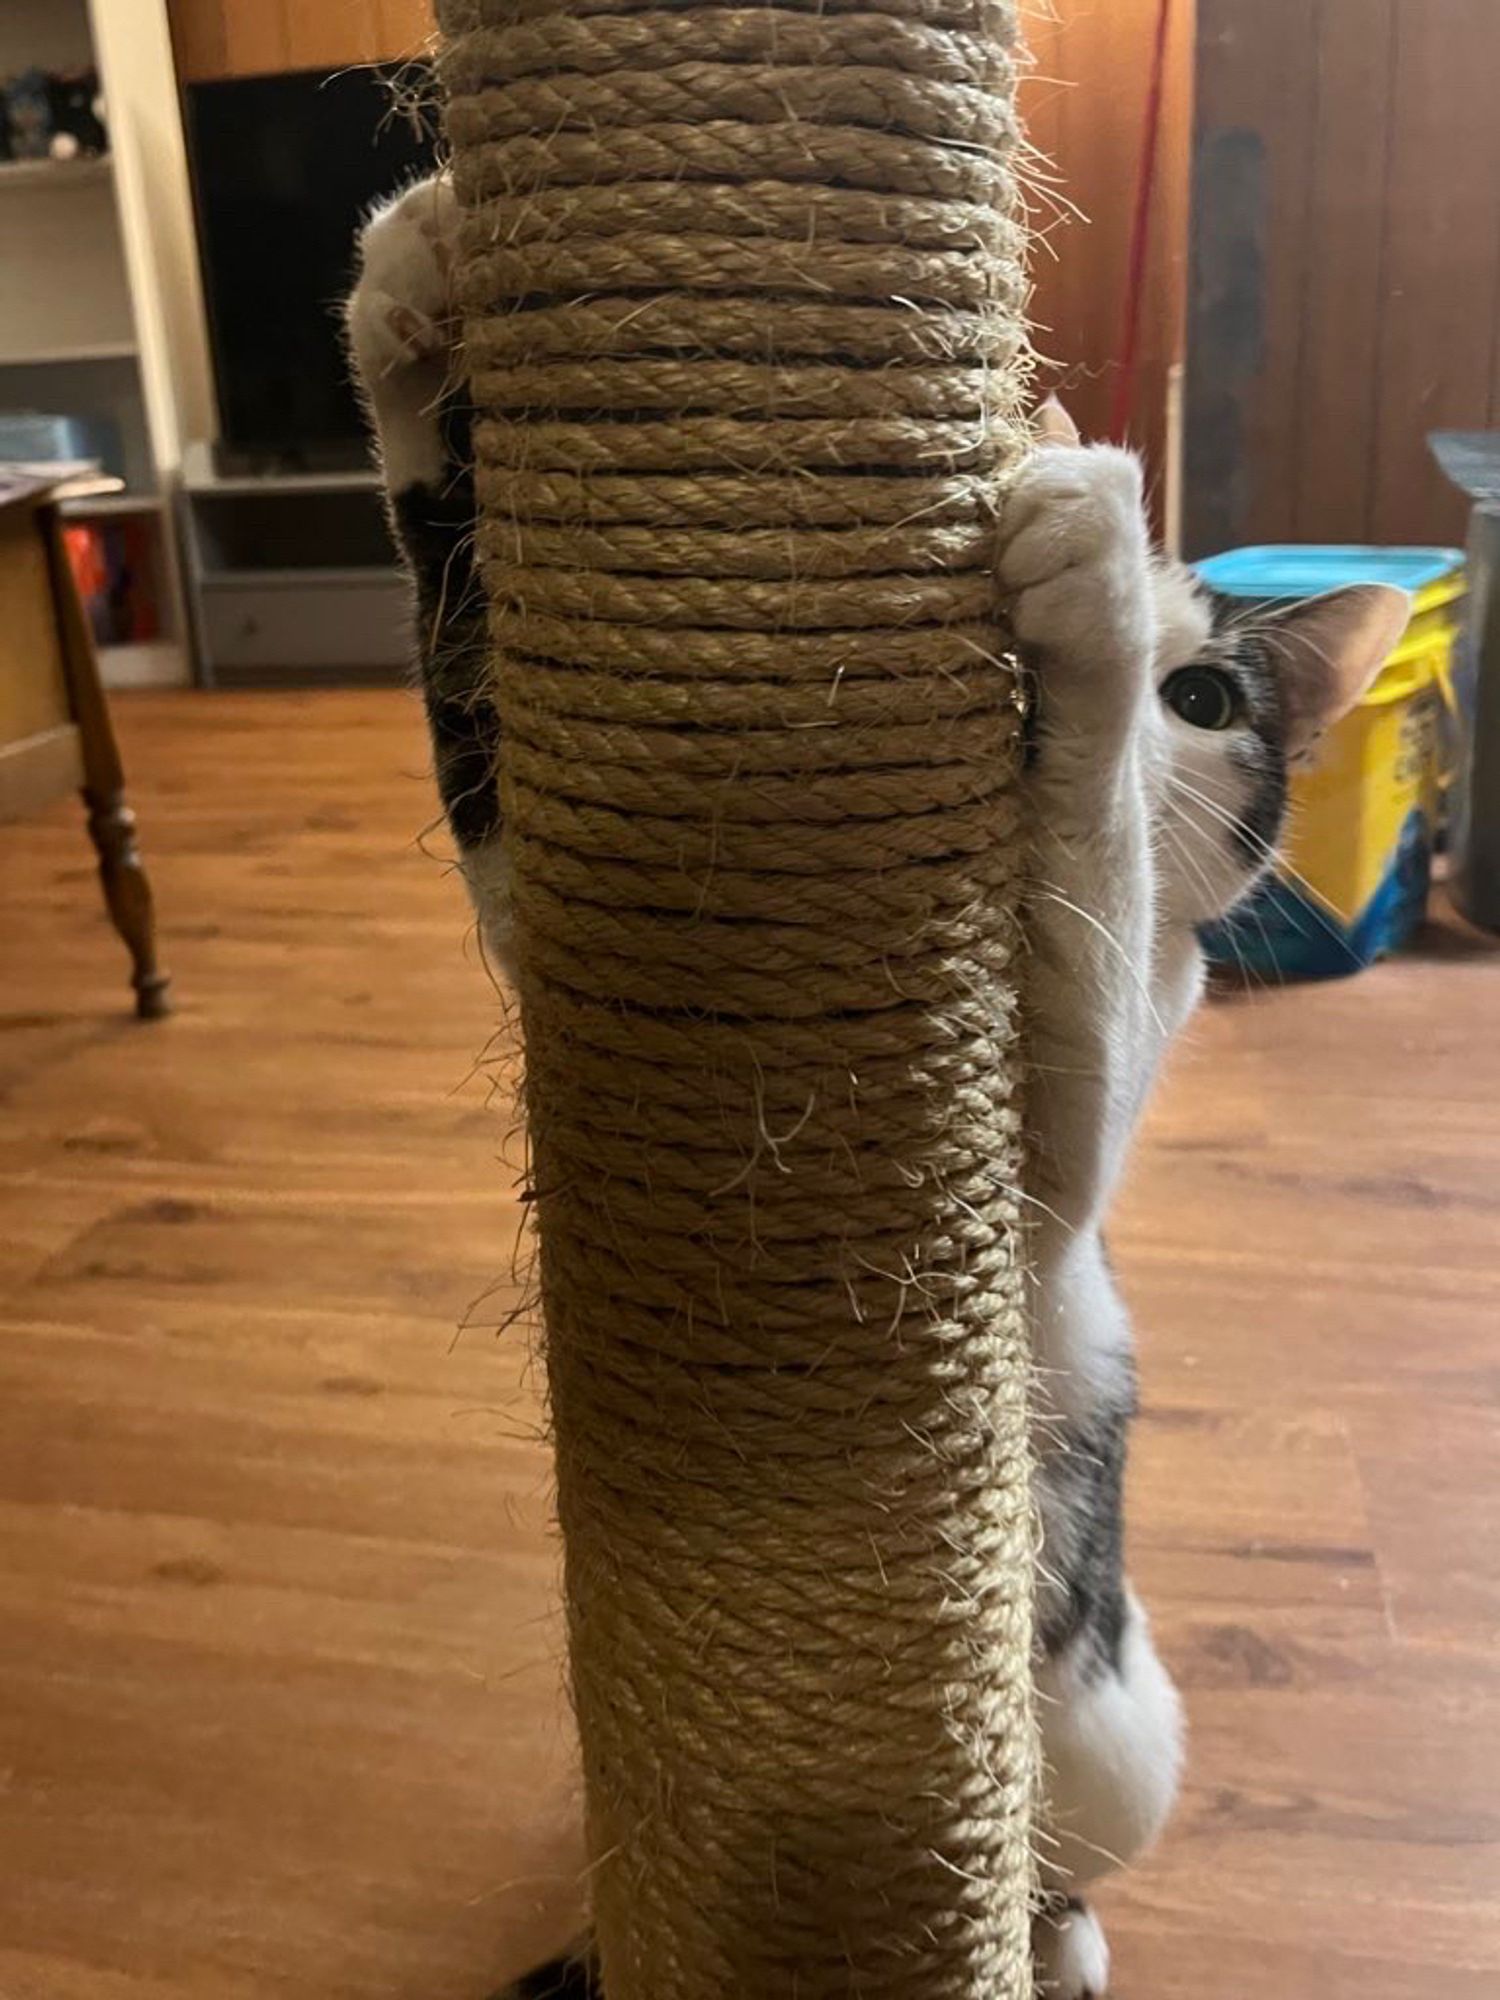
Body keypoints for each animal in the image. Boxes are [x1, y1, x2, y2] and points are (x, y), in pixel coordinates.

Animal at [350, 176, 1408, 2000]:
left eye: (1209, 699)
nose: (1135, 686)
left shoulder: (1095, 1091)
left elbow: (1098, 906)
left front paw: (1087, 596)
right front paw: (418, 318)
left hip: (1116, 1726)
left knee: (1064, 1847)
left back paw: (1051, 1937)